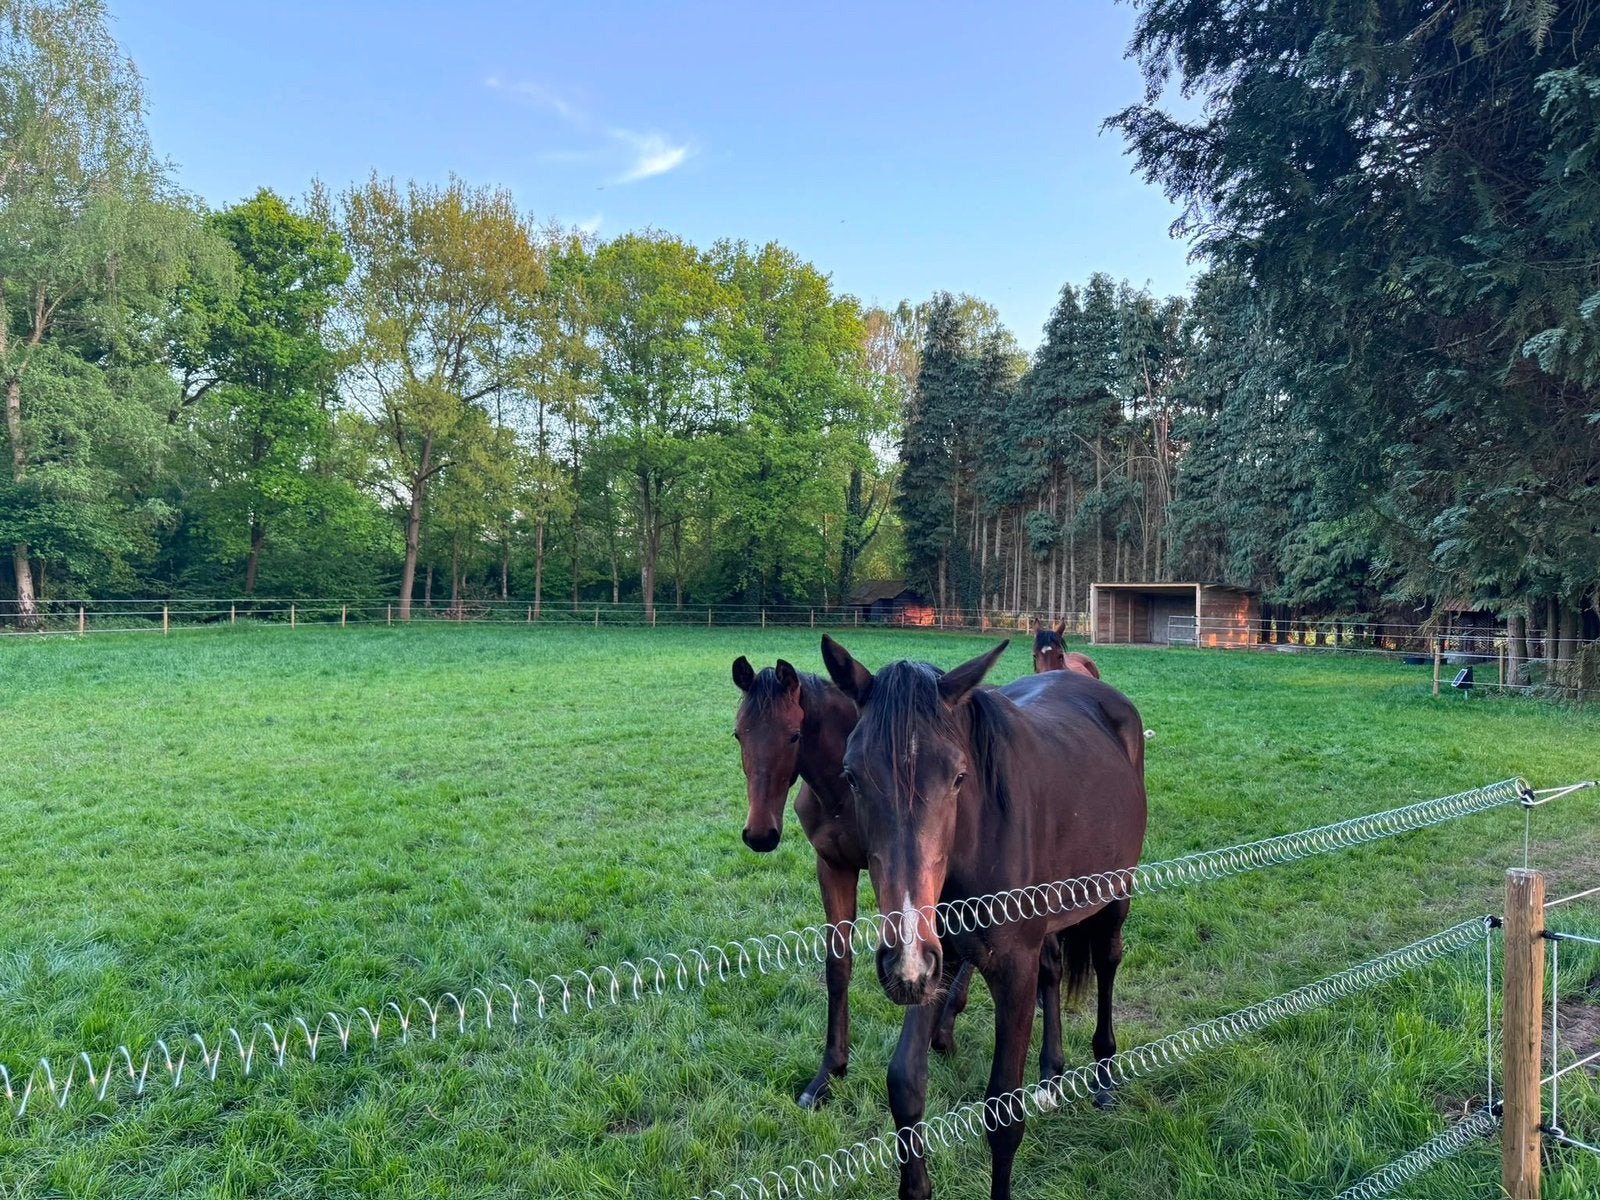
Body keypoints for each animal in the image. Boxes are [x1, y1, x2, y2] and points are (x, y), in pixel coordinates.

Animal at [730, 656, 1060, 1107]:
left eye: (794, 734)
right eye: (738, 734)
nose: (760, 834)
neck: (838, 793)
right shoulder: (833, 866)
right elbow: (839, 965)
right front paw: (828, 1074)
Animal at [820, 635, 1147, 1200]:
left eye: (958, 777)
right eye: (851, 776)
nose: (903, 957)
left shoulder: (1008, 970)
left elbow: (1003, 1116)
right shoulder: (936, 962)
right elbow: (905, 1083)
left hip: (1114, 896)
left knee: (1107, 962)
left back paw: (1104, 1078)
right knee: (1054, 972)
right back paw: (1050, 1078)